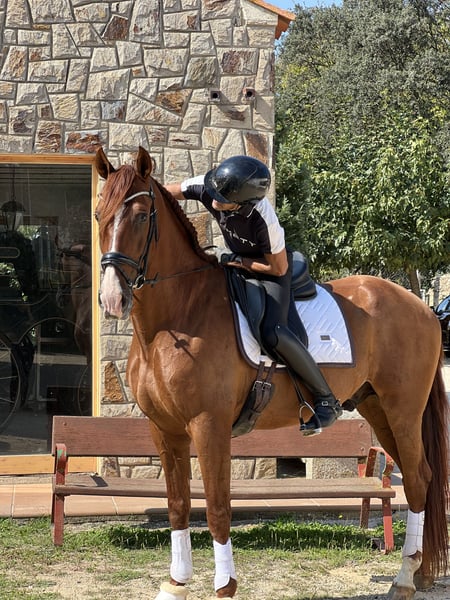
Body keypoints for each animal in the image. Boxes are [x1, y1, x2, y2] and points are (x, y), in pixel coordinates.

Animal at [95, 146, 449, 600]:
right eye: (99, 213)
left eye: (141, 217)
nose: (112, 298)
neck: (174, 319)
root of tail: (420, 306)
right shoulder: (164, 429)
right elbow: (178, 506)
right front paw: (175, 584)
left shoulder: (208, 427)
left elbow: (217, 506)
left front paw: (224, 586)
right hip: (377, 408)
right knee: (419, 477)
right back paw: (418, 572)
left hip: (403, 409)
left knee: (419, 480)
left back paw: (405, 577)